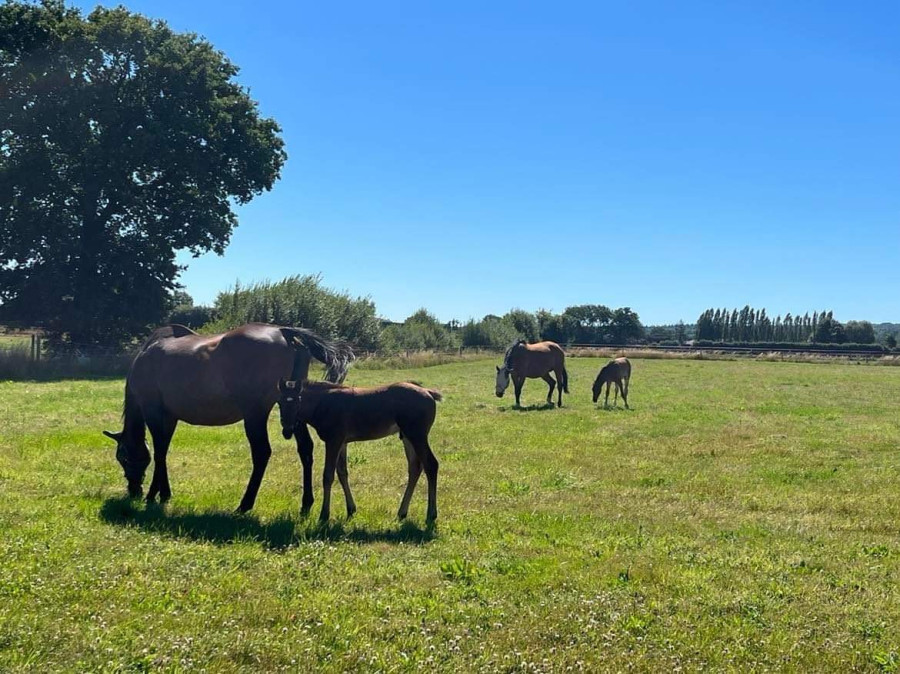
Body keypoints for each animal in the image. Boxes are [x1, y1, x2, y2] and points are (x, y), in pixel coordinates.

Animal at [104, 322, 356, 512]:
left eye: (122, 457)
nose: (133, 490)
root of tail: (284, 331)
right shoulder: (171, 417)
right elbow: (163, 450)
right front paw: (160, 492)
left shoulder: (153, 411)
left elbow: (158, 453)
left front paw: (155, 494)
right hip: (293, 407)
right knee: (305, 448)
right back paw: (306, 503)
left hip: (255, 413)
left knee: (262, 453)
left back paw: (245, 504)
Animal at [276, 378, 442, 520]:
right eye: (279, 403)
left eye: (298, 401)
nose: (287, 431)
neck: (323, 403)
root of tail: (427, 391)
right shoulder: (342, 442)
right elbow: (342, 472)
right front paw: (350, 509)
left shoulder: (333, 440)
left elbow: (328, 475)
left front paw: (324, 515)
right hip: (407, 436)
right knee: (415, 468)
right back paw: (402, 513)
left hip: (417, 435)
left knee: (431, 464)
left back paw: (431, 514)